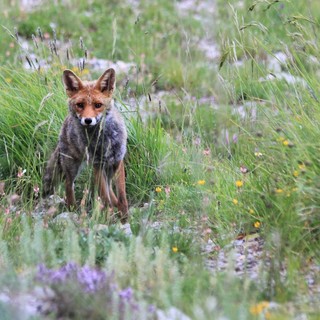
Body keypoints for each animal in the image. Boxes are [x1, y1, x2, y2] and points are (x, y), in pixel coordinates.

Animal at [42, 69, 129, 221]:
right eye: (80, 105)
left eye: (98, 105)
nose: (88, 120)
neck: (104, 140)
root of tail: (65, 123)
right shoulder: (96, 164)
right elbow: (105, 197)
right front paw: (109, 218)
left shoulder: (118, 161)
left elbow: (121, 196)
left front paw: (125, 218)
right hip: (72, 165)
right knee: (68, 185)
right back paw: (73, 210)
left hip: (108, 170)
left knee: (110, 189)